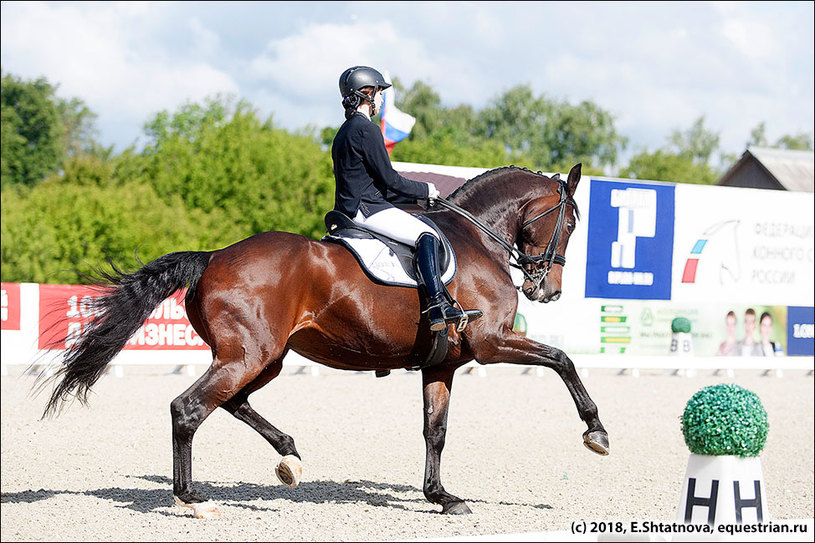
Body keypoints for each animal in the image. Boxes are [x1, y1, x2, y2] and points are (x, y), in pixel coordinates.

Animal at [41, 165, 608, 520]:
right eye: (571, 223)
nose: (548, 290)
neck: (476, 241)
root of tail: (213, 256)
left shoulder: (442, 365)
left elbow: (436, 431)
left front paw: (441, 496)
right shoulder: (491, 344)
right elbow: (562, 360)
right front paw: (596, 432)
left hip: (263, 358)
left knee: (233, 401)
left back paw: (288, 458)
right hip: (249, 355)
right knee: (189, 408)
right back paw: (194, 499)